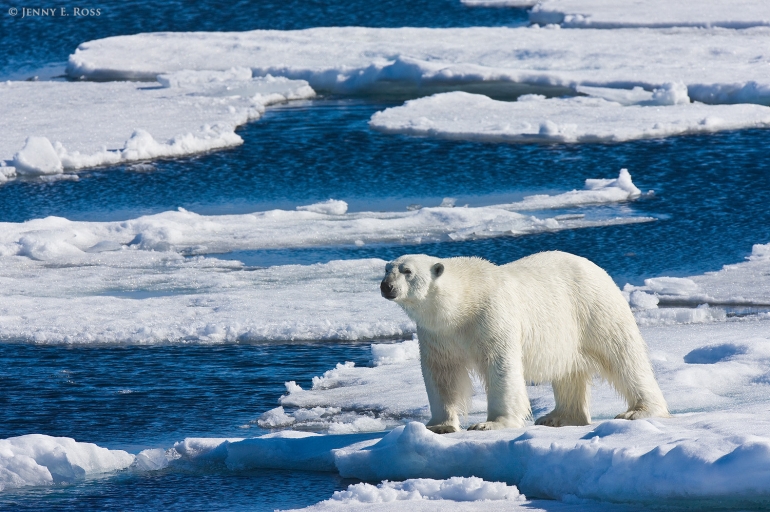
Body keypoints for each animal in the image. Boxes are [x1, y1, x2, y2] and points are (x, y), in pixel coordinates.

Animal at [378, 252, 664, 432]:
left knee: (623, 355)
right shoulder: (438, 334)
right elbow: (442, 373)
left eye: (407, 271)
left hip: (594, 308)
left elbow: (500, 366)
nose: (386, 286)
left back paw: (638, 410)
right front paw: (439, 425)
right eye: (386, 269)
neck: (463, 304)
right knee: (569, 371)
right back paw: (558, 417)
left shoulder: (491, 316)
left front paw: (490, 423)